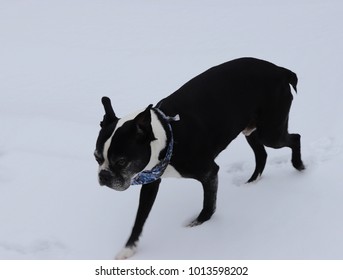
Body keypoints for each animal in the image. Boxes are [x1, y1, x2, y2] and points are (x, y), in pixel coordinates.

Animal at [94, 57, 306, 260]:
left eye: (121, 161)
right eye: (96, 158)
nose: (103, 176)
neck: (169, 135)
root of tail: (280, 70)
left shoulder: (209, 173)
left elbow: (208, 205)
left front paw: (197, 224)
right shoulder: (151, 180)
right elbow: (140, 218)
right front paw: (129, 248)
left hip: (270, 133)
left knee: (294, 138)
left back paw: (299, 166)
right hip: (251, 130)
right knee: (262, 154)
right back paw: (252, 182)